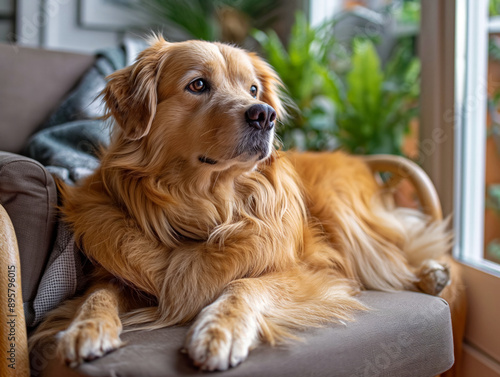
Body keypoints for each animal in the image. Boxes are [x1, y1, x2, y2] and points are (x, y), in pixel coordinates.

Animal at [29, 35, 462, 370]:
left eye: (253, 89)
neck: (207, 206)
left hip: (346, 218)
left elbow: (243, 285)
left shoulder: (307, 272)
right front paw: (85, 328)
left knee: (395, 255)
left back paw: (431, 274)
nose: (264, 115)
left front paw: (219, 330)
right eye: (197, 85)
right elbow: (97, 295)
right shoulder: (115, 276)